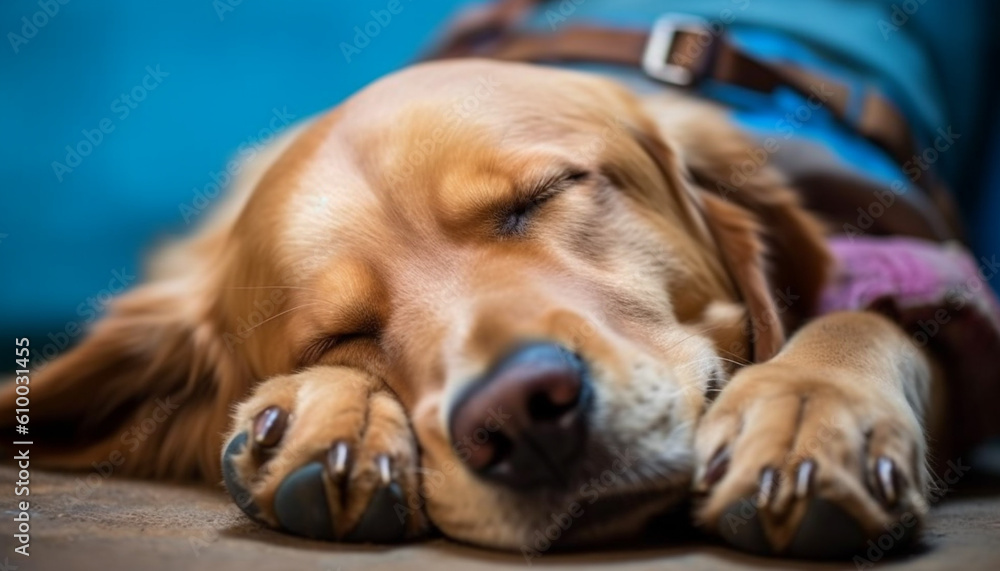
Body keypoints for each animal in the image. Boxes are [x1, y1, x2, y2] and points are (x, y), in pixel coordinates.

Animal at [7, 0, 1000, 560]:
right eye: (338, 335)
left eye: (545, 194)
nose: (522, 414)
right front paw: (332, 413)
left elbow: (866, 321)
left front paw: (806, 414)